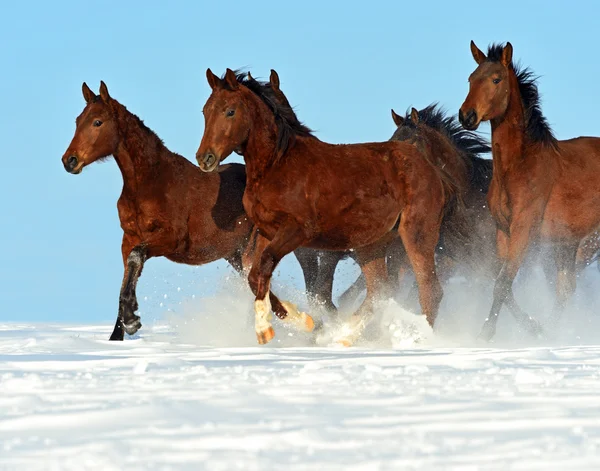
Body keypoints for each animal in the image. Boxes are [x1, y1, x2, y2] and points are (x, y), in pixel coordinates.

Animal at [62, 80, 326, 340]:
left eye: (97, 122)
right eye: (77, 121)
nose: (69, 161)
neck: (151, 183)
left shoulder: (170, 239)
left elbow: (136, 259)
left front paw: (131, 320)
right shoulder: (129, 239)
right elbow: (129, 272)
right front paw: (122, 330)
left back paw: (308, 322)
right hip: (236, 254)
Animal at [195, 68, 472, 344]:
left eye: (230, 111)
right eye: (205, 111)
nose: (204, 158)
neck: (278, 166)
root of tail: (434, 170)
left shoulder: (298, 232)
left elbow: (270, 271)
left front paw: (268, 330)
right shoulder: (266, 232)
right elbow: (255, 276)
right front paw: (301, 320)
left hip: (416, 234)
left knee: (429, 290)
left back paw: (418, 340)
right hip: (372, 245)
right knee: (380, 290)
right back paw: (345, 335)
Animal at [460, 41, 600, 340]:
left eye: (496, 79)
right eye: (470, 79)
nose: (466, 116)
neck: (520, 168)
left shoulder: (524, 231)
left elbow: (503, 282)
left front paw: (486, 332)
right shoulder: (503, 232)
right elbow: (504, 283)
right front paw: (533, 326)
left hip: (588, 242)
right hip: (567, 244)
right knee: (565, 290)